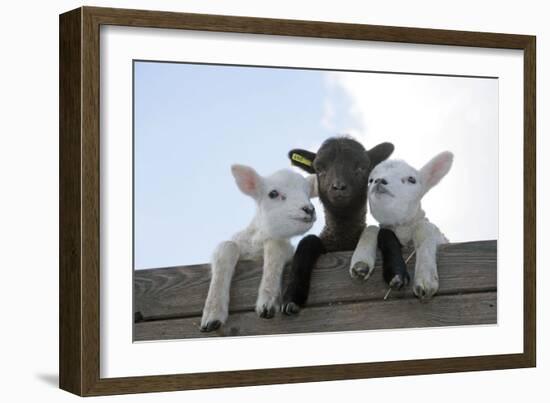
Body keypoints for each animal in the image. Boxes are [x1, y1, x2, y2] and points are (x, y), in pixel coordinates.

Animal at [201, 164, 316, 332]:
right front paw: (212, 315)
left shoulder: (284, 245)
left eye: (308, 193)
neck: (257, 243)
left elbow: (275, 247)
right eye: (273, 194)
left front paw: (267, 302)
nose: (309, 209)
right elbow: (227, 247)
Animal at [356, 152, 454, 300]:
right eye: (370, 180)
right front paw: (361, 261)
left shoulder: (441, 238)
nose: (379, 181)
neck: (402, 228)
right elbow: (375, 230)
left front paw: (425, 278)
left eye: (412, 179)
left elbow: (424, 228)